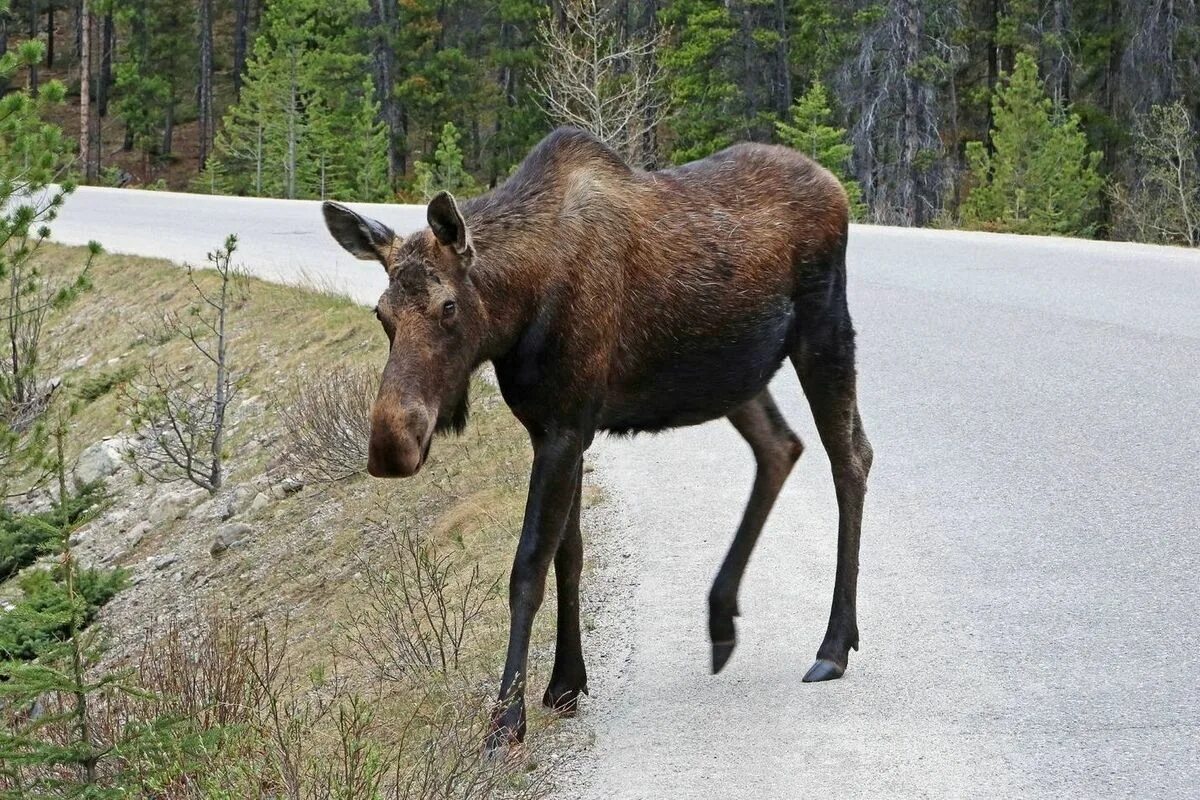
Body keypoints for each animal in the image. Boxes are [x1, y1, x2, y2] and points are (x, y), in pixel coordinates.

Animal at [324, 126, 878, 753]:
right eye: (382, 313)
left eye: (448, 306)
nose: (391, 445)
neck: (517, 312)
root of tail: (837, 189)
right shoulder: (552, 430)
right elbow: (570, 553)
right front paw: (566, 681)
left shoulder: (566, 428)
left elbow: (528, 566)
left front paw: (506, 721)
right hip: (733, 375)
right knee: (781, 447)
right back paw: (721, 616)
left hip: (825, 331)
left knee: (851, 456)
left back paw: (834, 644)